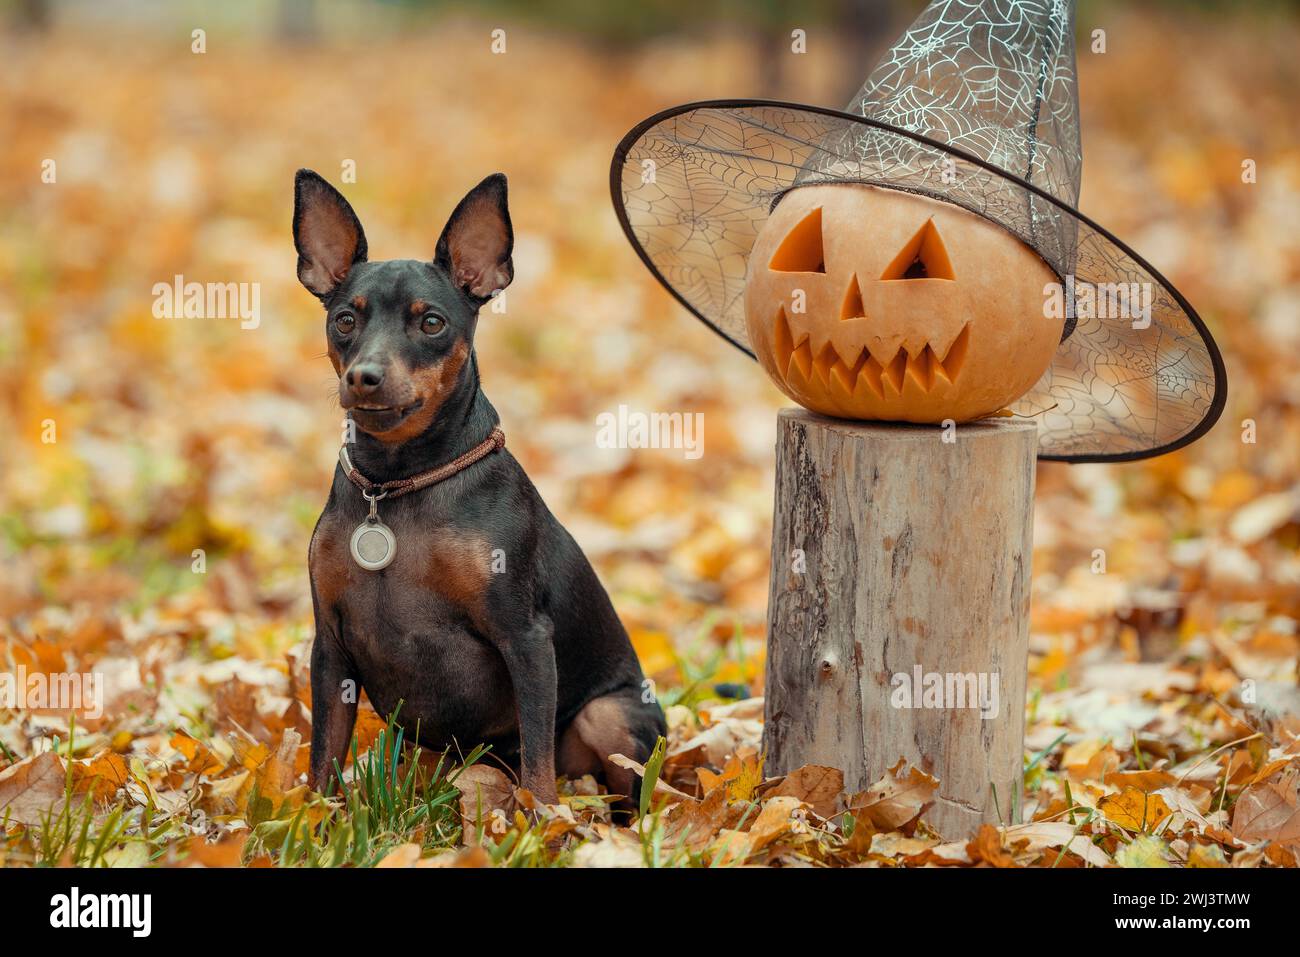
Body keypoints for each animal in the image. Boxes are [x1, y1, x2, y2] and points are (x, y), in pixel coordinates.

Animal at [297, 170, 665, 806]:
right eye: (345, 319)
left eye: (431, 322)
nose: (364, 377)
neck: (395, 486)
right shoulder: (331, 649)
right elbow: (324, 759)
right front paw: (314, 820)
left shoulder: (527, 640)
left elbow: (539, 768)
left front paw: (544, 823)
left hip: (608, 717)